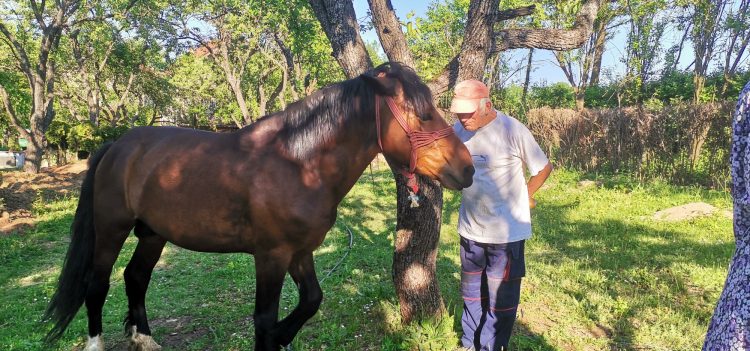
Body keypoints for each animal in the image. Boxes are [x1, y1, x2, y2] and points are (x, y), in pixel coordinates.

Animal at [42, 62, 476, 350]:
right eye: (423, 114)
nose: (467, 169)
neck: (298, 163)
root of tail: (117, 145)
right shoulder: (271, 256)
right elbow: (264, 319)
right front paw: (275, 338)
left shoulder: (300, 252)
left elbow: (311, 300)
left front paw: (284, 337)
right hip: (110, 230)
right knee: (97, 284)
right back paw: (96, 342)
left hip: (153, 234)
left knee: (135, 277)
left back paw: (144, 338)